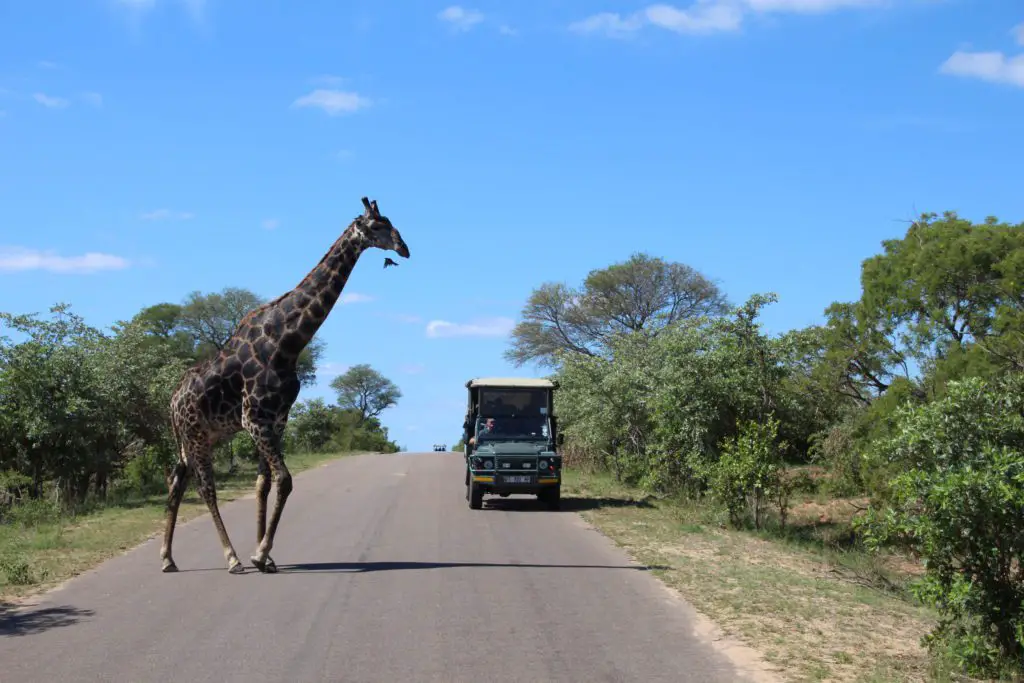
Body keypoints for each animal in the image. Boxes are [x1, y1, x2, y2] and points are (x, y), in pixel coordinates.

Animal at [159, 194, 407, 573]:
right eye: (378, 225)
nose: (404, 249)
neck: (287, 342)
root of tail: (172, 401)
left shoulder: (277, 420)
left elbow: (264, 483)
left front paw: (265, 555)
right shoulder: (253, 419)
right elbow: (285, 481)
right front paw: (258, 553)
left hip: (195, 438)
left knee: (176, 481)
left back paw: (168, 558)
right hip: (197, 436)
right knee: (205, 488)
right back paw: (230, 557)